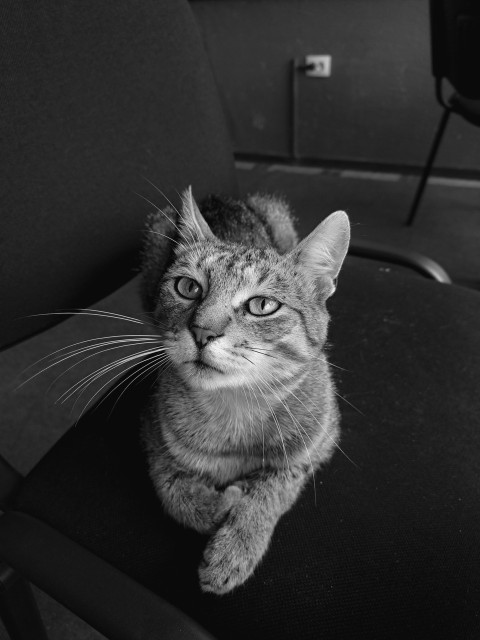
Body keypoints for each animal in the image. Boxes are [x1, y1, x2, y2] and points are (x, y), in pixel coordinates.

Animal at [139, 186, 348, 596]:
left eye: (262, 305)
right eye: (188, 287)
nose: (202, 331)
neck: (236, 403)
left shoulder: (316, 447)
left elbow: (272, 491)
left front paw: (237, 543)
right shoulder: (153, 438)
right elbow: (173, 490)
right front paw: (219, 506)